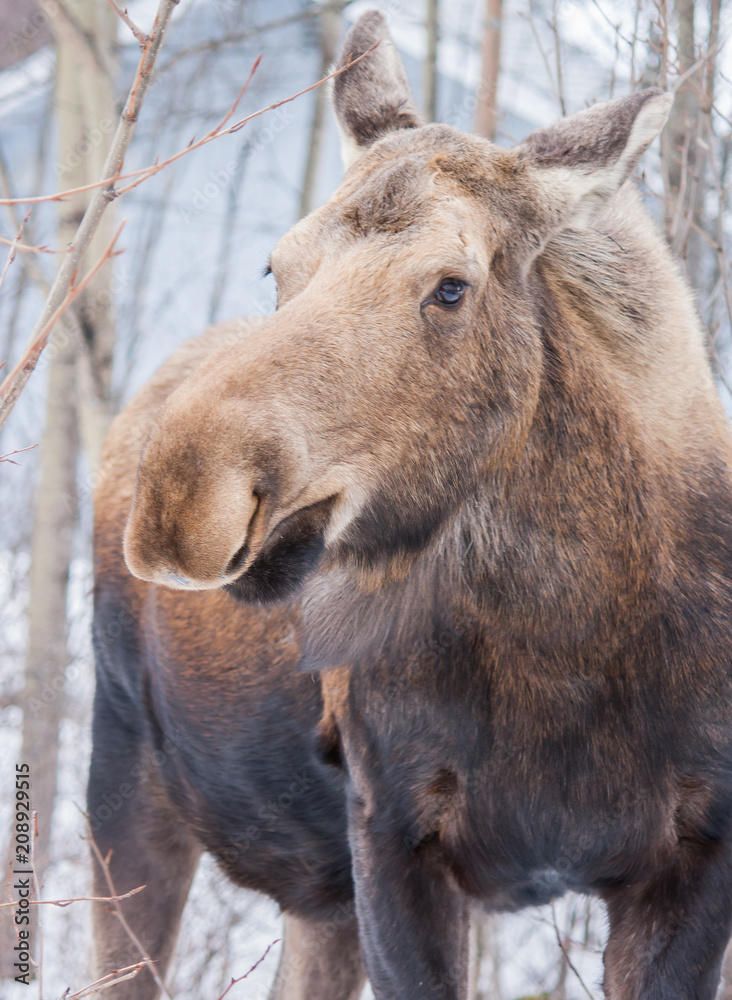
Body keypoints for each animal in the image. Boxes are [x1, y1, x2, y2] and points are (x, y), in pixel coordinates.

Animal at [91, 10, 732, 1000]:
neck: (572, 650)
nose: (184, 497)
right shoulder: (392, 829)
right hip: (127, 778)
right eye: (277, 264)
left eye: (451, 286)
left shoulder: (696, 854)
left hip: (310, 889)